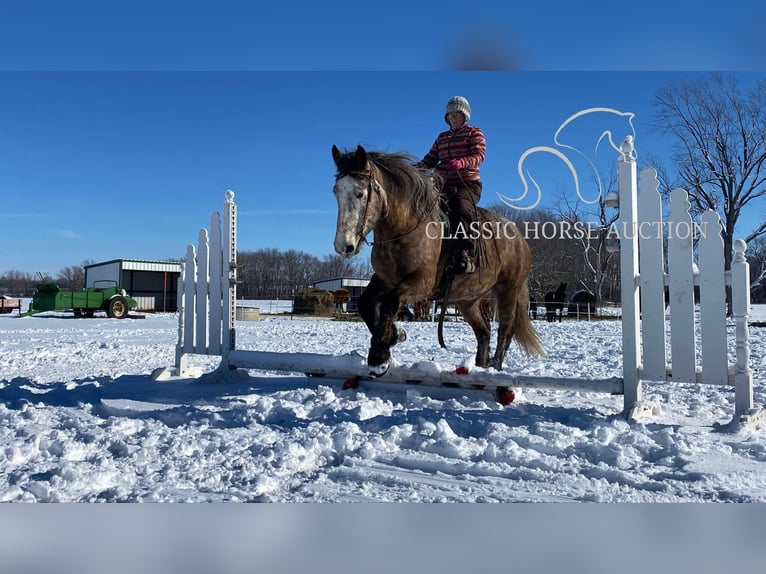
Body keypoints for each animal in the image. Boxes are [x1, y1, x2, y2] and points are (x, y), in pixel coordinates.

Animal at [332, 144, 544, 378]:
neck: (404, 228)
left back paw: (494, 369)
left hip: (507, 291)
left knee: (504, 332)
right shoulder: (385, 279)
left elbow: (389, 303)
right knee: (484, 331)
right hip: (468, 300)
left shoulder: (421, 283)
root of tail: (519, 238)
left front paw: (379, 357)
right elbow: (365, 303)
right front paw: (396, 335)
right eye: (336, 192)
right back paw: (480, 368)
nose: (344, 246)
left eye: (360, 193)